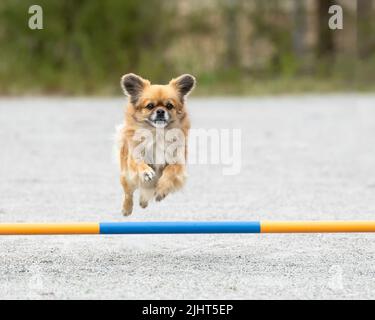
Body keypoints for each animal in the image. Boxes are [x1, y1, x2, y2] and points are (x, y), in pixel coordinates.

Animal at [117, 74, 197, 216]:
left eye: (169, 105)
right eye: (150, 106)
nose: (160, 111)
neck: (157, 133)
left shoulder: (178, 161)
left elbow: (170, 171)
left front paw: (161, 190)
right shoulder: (135, 156)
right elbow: (139, 163)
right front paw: (146, 172)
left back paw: (144, 201)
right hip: (127, 177)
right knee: (128, 193)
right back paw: (127, 209)